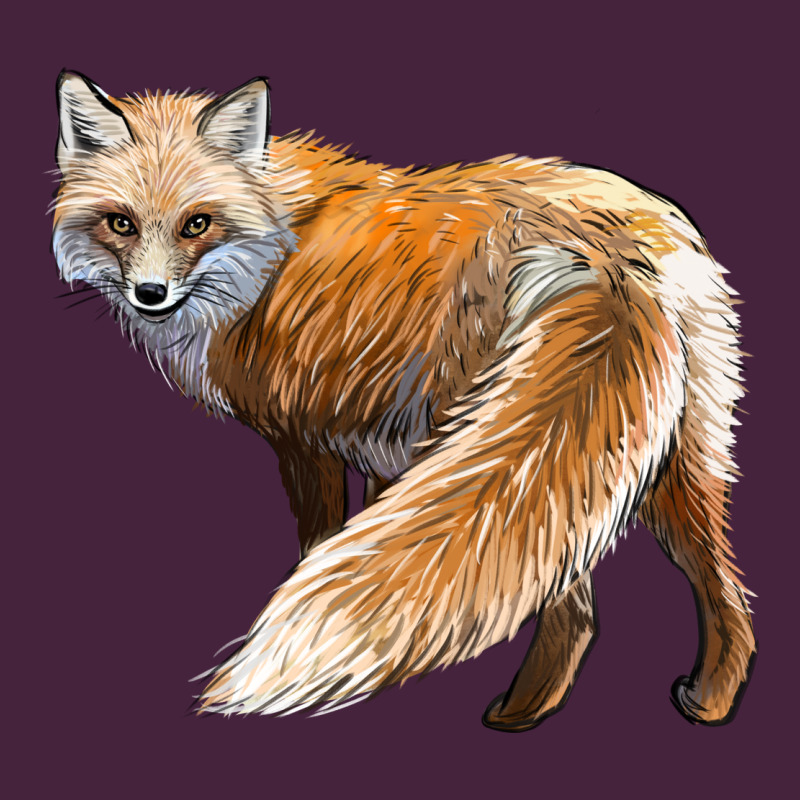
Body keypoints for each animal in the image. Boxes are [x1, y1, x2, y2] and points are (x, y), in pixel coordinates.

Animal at [52, 70, 756, 730]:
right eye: (121, 223)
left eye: (196, 223)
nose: (150, 293)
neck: (272, 245)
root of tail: (603, 254)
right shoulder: (378, 444)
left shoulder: (302, 439)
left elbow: (321, 545)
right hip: (665, 454)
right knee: (714, 587)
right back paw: (706, 701)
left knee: (572, 603)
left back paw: (517, 714)